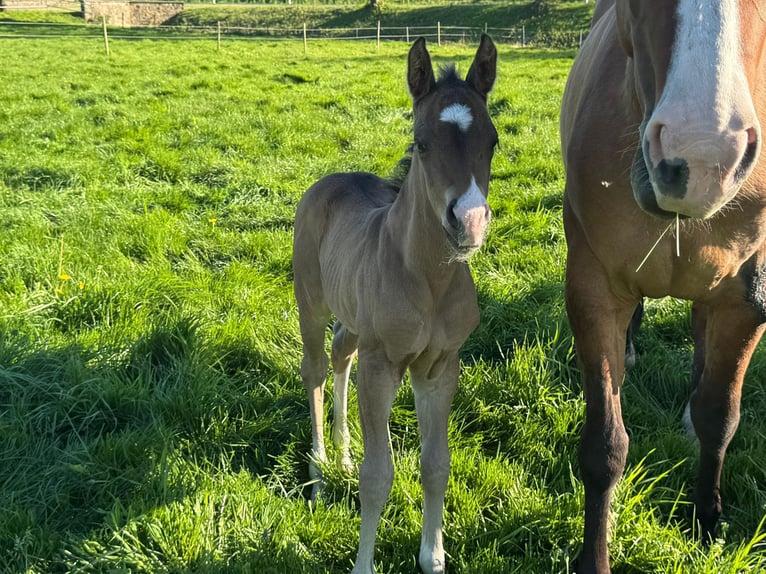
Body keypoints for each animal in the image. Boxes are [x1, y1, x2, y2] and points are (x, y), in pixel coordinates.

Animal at [292, 35, 498, 574]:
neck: (428, 280)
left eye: (493, 142)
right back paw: (320, 474)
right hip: (311, 303)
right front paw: (364, 564)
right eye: (422, 143)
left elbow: (436, 464)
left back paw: (342, 455)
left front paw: (433, 556)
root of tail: (330, 180)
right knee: (316, 370)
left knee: (341, 354)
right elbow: (378, 475)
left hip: (353, 320)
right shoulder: (382, 363)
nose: (469, 223)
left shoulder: (440, 367)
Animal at [560, 0, 766, 572]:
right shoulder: (593, 293)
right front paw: (594, 559)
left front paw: (708, 518)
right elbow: (604, 445)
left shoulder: (743, 299)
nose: (701, 156)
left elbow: (720, 416)